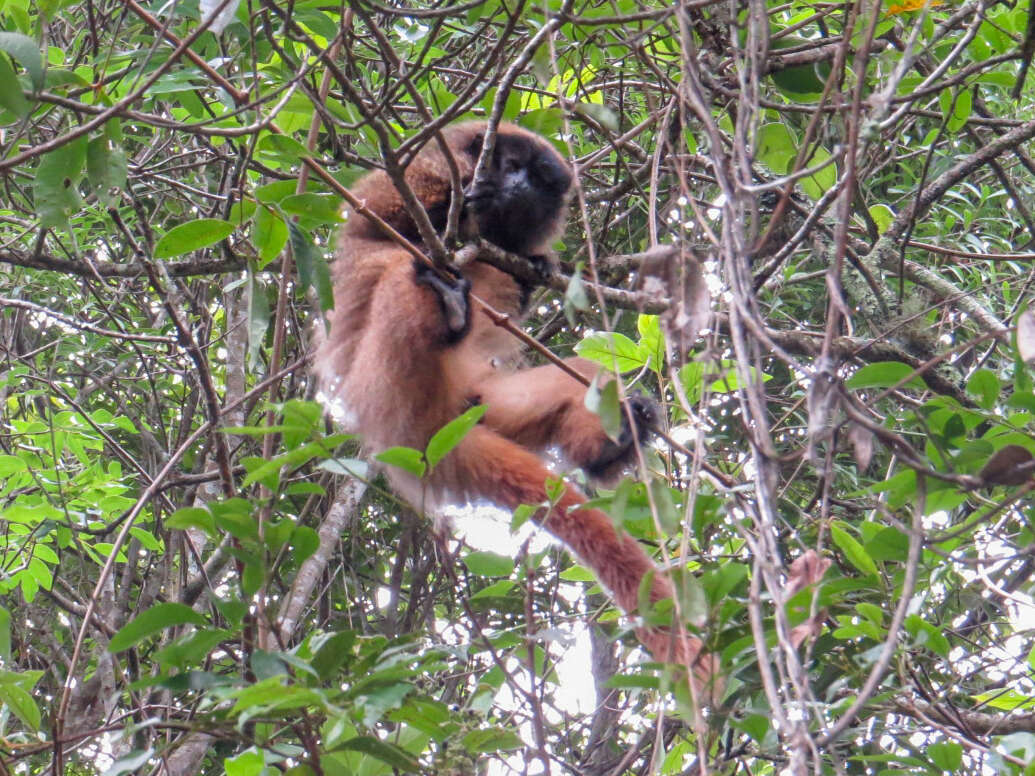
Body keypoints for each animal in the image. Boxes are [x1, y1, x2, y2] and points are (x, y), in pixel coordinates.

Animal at [314, 120, 720, 699]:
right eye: (509, 164)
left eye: (539, 177)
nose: (521, 184)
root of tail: (423, 436)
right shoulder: (420, 168)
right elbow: (379, 219)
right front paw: (460, 204)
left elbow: (529, 276)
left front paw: (537, 263)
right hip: (386, 384)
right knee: (400, 268)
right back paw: (449, 305)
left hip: (477, 404)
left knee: (583, 375)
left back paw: (612, 443)